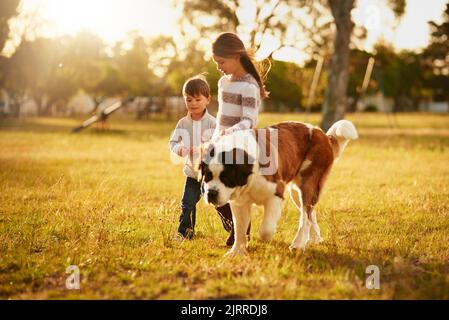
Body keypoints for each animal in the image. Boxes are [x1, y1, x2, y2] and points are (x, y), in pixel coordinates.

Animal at [198, 120, 358, 258]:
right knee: (309, 212)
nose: (211, 193)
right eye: (207, 176)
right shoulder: (239, 203)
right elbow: (240, 229)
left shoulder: (275, 194)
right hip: (296, 192)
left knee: (305, 216)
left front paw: (266, 239)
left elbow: (265, 230)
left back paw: (298, 244)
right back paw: (314, 238)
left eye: (226, 178)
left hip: (308, 183)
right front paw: (236, 251)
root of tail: (322, 134)